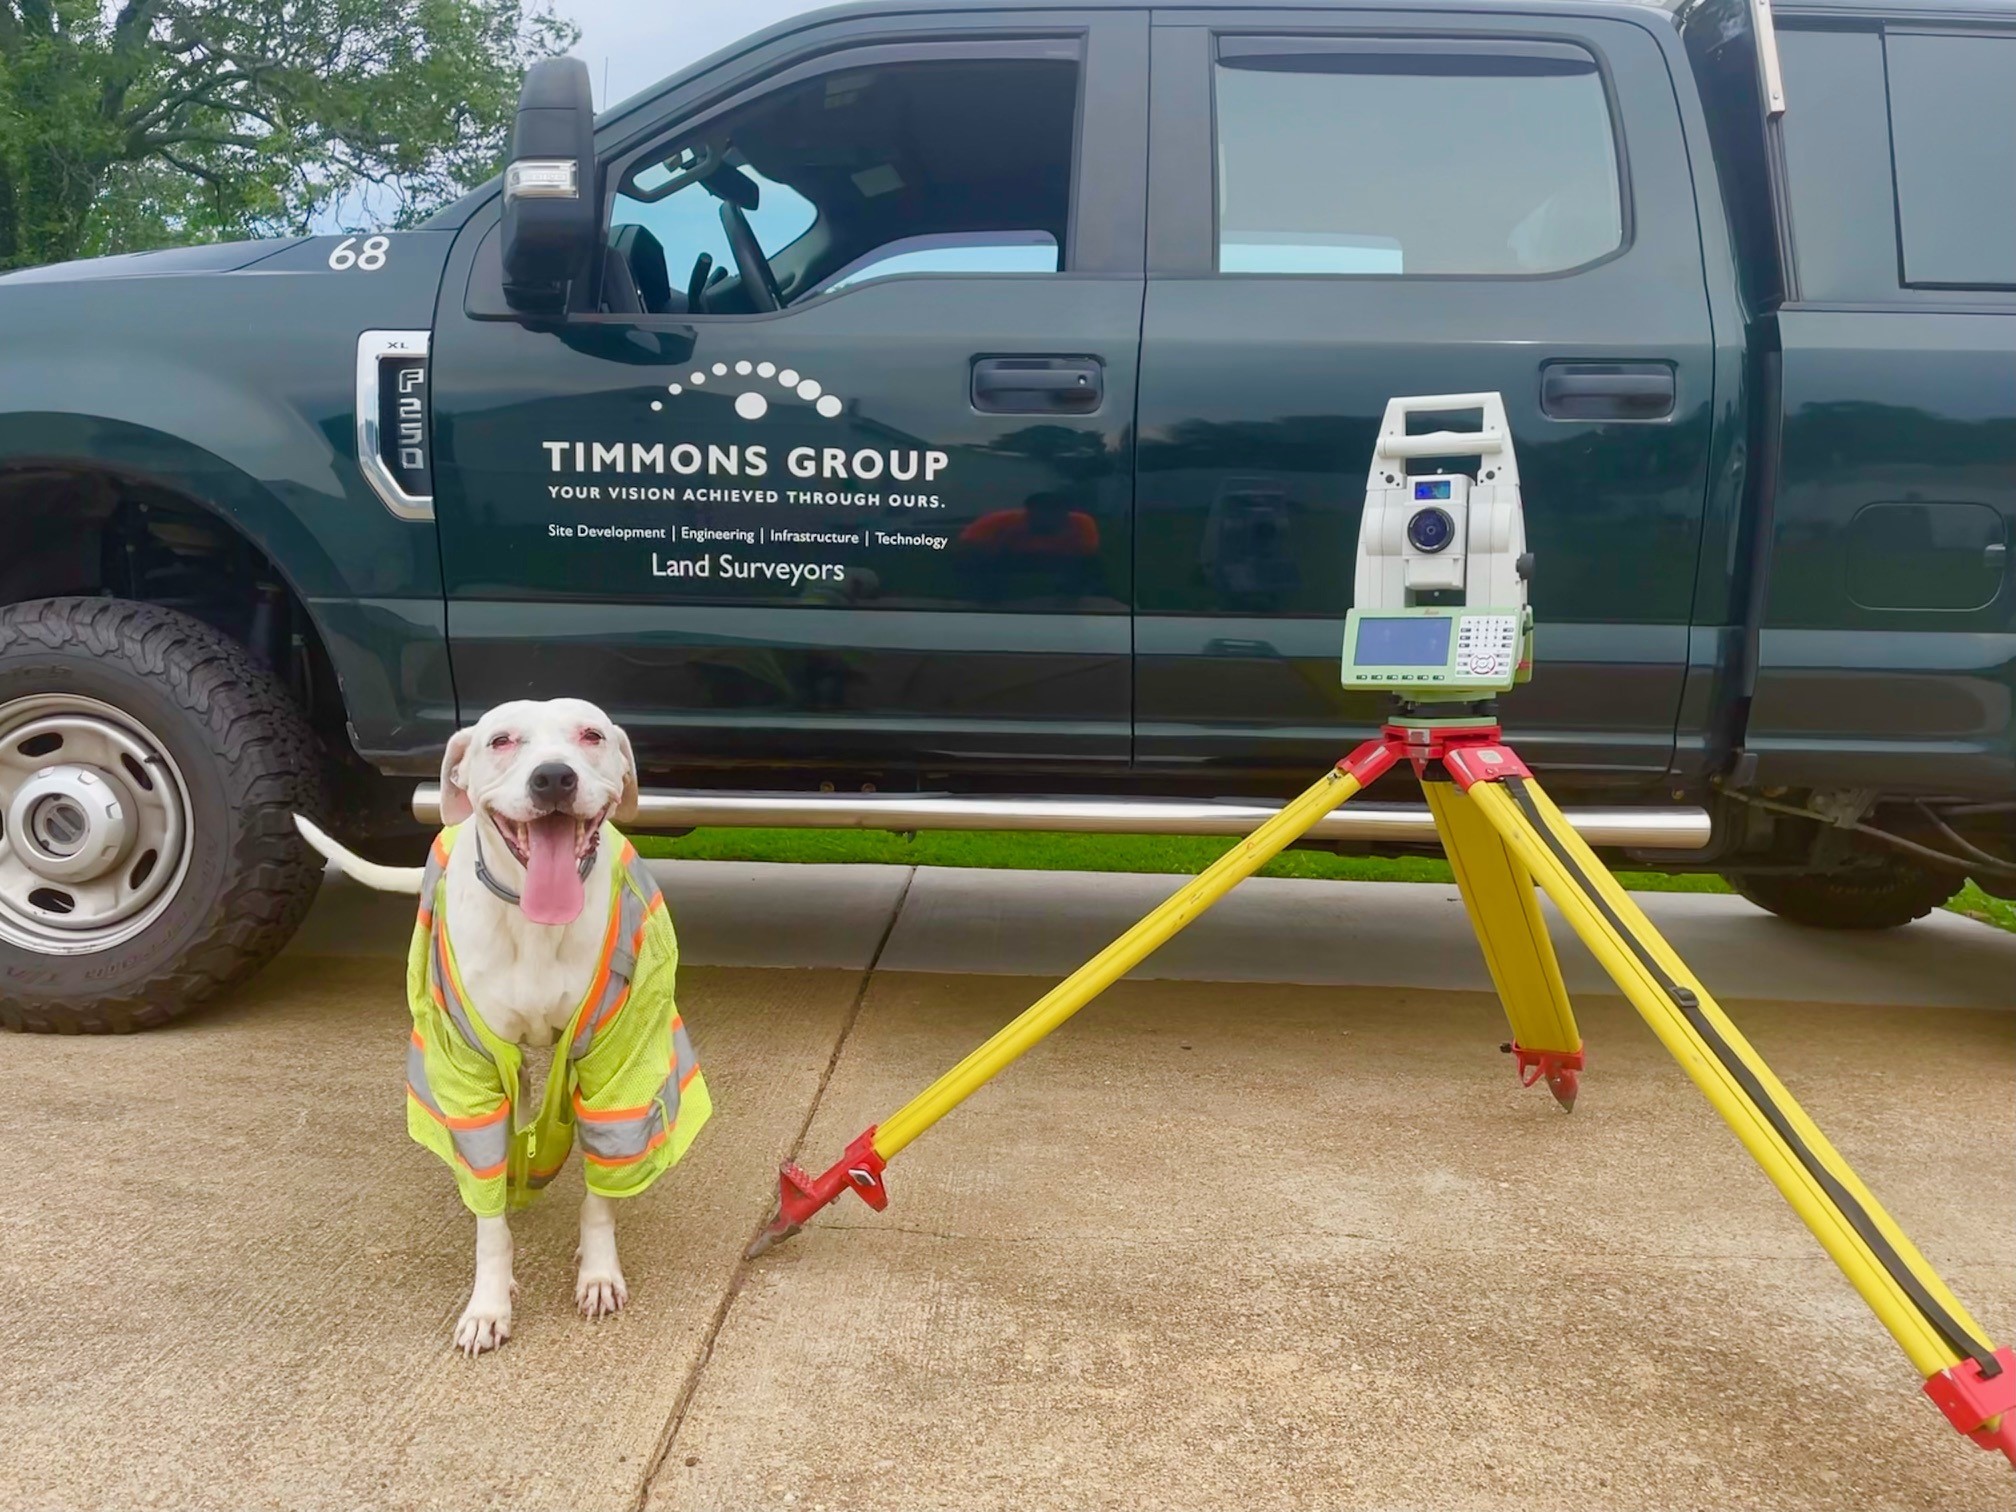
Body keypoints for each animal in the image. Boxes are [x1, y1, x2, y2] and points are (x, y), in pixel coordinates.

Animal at [294, 705, 709, 1354]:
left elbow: (602, 1186)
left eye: (591, 734)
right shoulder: (468, 1068)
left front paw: (598, 1270)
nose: (553, 778)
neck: (532, 919)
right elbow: (489, 1213)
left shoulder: (617, 1064)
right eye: (501, 740)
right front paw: (489, 1303)